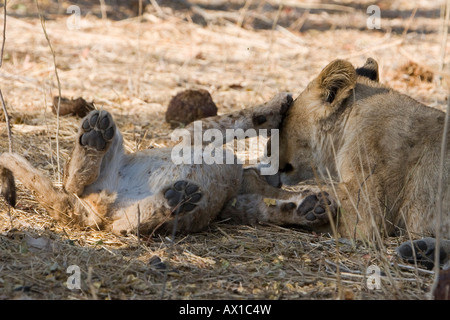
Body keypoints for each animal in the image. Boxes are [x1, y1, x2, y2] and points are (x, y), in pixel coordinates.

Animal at [0, 93, 338, 238]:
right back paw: (95, 133)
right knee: (72, 181)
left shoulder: (236, 204)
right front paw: (278, 105)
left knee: (125, 223)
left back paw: (175, 198)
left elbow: (268, 208)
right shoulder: (192, 135)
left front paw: (311, 208)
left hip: (122, 206)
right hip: (113, 155)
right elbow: (232, 119)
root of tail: (88, 213)